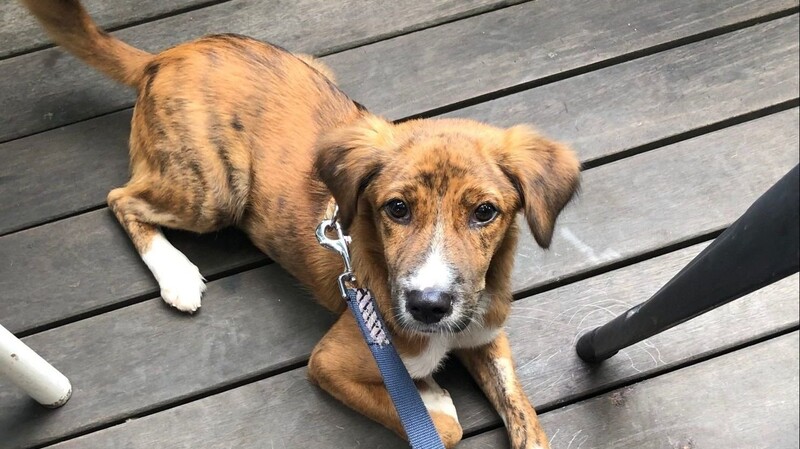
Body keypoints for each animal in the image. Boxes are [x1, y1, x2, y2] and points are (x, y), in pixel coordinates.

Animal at [21, 1, 580, 446]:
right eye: (396, 208)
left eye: (484, 212)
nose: (427, 306)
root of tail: (165, 57)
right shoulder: (329, 361)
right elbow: (442, 426)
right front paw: (431, 396)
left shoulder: (487, 334)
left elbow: (524, 412)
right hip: (216, 191)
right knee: (121, 198)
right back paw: (175, 273)